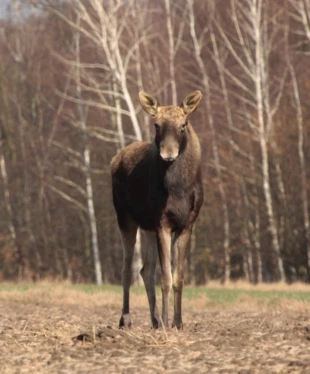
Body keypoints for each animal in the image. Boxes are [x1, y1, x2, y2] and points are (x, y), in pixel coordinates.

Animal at [111, 90, 203, 330]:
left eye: (183, 124)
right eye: (156, 125)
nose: (168, 154)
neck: (178, 189)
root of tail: (116, 158)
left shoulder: (186, 224)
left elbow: (178, 277)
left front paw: (177, 322)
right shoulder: (163, 223)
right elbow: (166, 278)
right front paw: (168, 322)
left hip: (148, 228)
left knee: (145, 270)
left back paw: (155, 320)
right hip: (125, 218)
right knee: (127, 270)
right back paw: (126, 319)